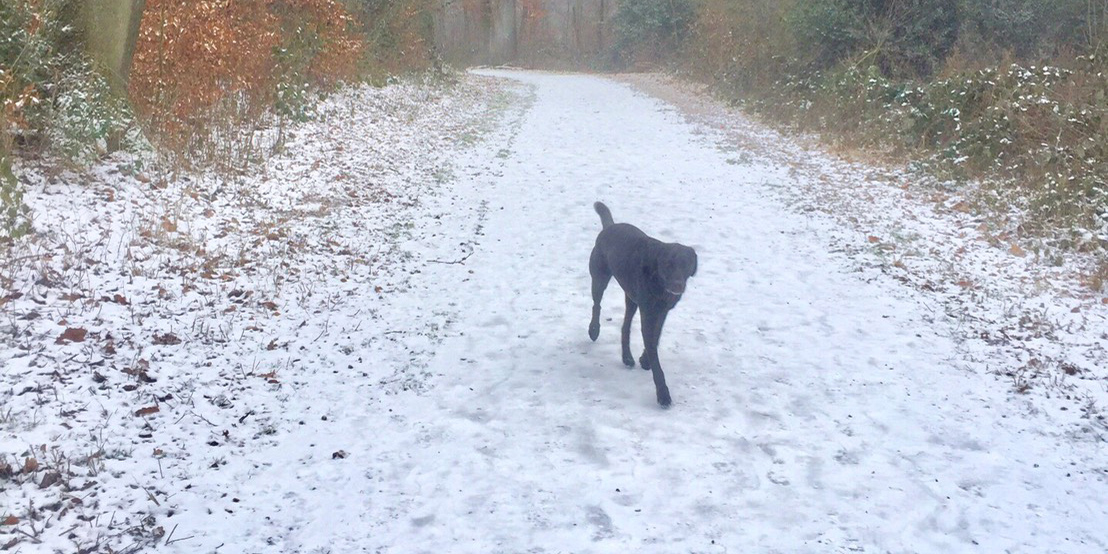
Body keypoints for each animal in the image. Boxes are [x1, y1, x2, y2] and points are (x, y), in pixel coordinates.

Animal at [589, 202, 691, 407]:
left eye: (686, 264)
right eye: (668, 264)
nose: (678, 285)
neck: (658, 282)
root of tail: (610, 227)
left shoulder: (662, 311)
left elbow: (655, 338)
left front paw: (644, 360)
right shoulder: (649, 312)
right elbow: (654, 350)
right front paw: (663, 393)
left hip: (631, 298)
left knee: (625, 326)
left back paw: (627, 357)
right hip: (599, 277)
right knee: (597, 305)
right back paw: (594, 330)